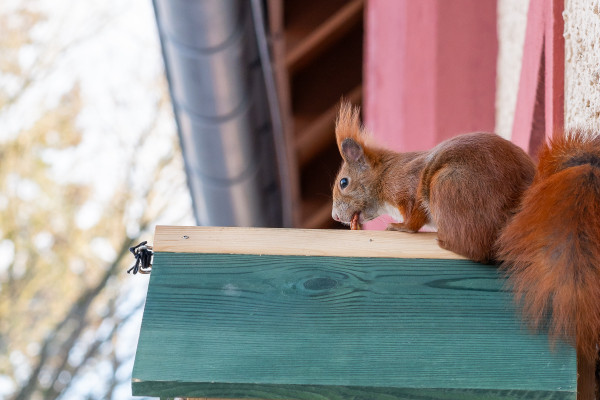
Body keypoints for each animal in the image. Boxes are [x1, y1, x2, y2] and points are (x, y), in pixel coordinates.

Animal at [332, 102, 600, 394]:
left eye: (344, 182)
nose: (335, 216)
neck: (385, 174)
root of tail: (520, 205)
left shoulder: (407, 189)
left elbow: (414, 219)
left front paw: (400, 227)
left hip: (449, 187)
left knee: (474, 248)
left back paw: (443, 240)